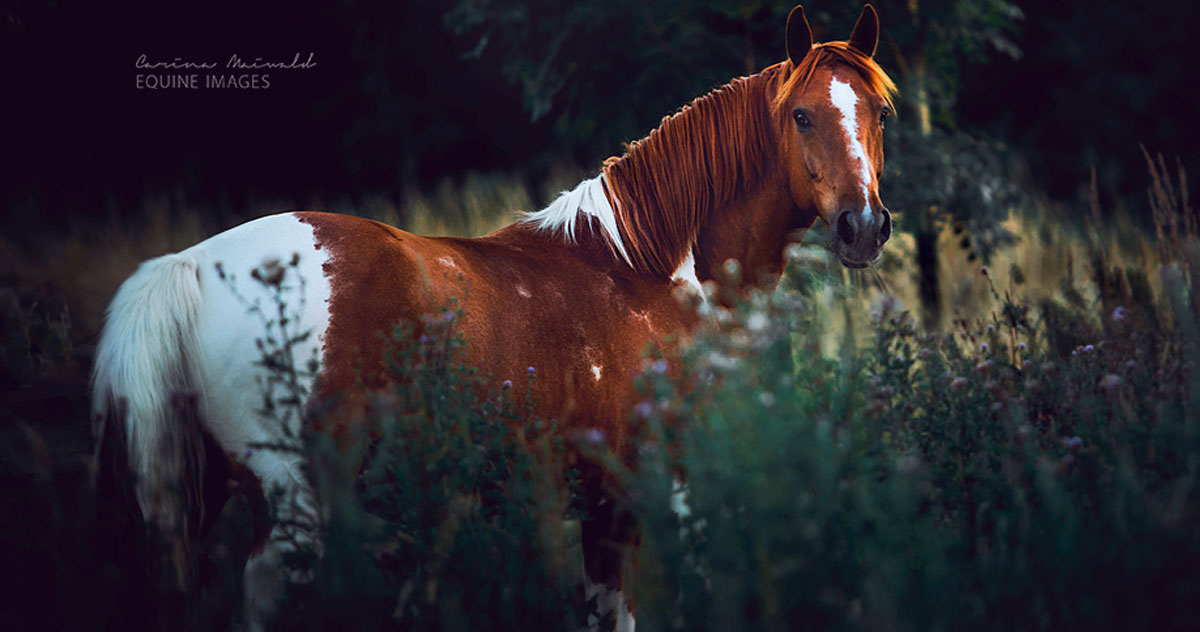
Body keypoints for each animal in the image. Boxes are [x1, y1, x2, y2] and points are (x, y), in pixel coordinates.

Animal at [93, 6, 897, 632]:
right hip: (291, 507)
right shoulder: (649, 495)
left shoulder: (599, 509)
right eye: (801, 115)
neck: (648, 270)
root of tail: (189, 265)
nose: (863, 227)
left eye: (879, 114)